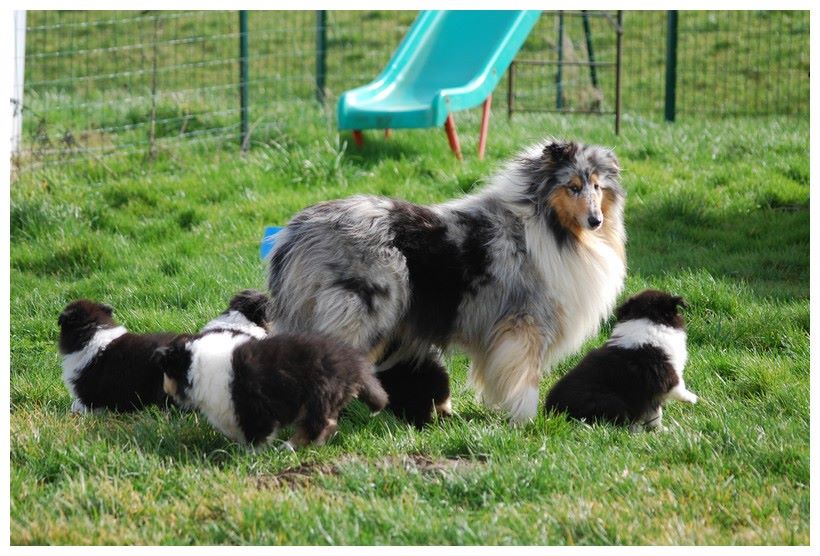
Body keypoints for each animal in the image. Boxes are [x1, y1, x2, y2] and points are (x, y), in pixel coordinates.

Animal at [155, 332, 390, 450]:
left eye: (167, 370)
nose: (164, 389)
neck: (196, 366)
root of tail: (353, 365)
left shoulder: (252, 408)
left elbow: (256, 434)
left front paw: (249, 454)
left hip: (318, 395)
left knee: (318, 424)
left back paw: (289, 446)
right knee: (327, 423)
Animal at [266, 140, 624, 426]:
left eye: (597, 187)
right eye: (573, 187)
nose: (596, 221)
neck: (546, 227)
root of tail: (298, 231)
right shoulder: (525, 326)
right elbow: (527, 379)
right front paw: (526, 421)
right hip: (364, 316)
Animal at [544, 292, 700, 430]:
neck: (647, 320)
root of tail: (550, 411)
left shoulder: (651, 394)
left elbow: (654, 413)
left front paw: (659, 430)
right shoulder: (664, 373)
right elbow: (678, 385)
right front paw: (692, 398)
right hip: (609, 401)